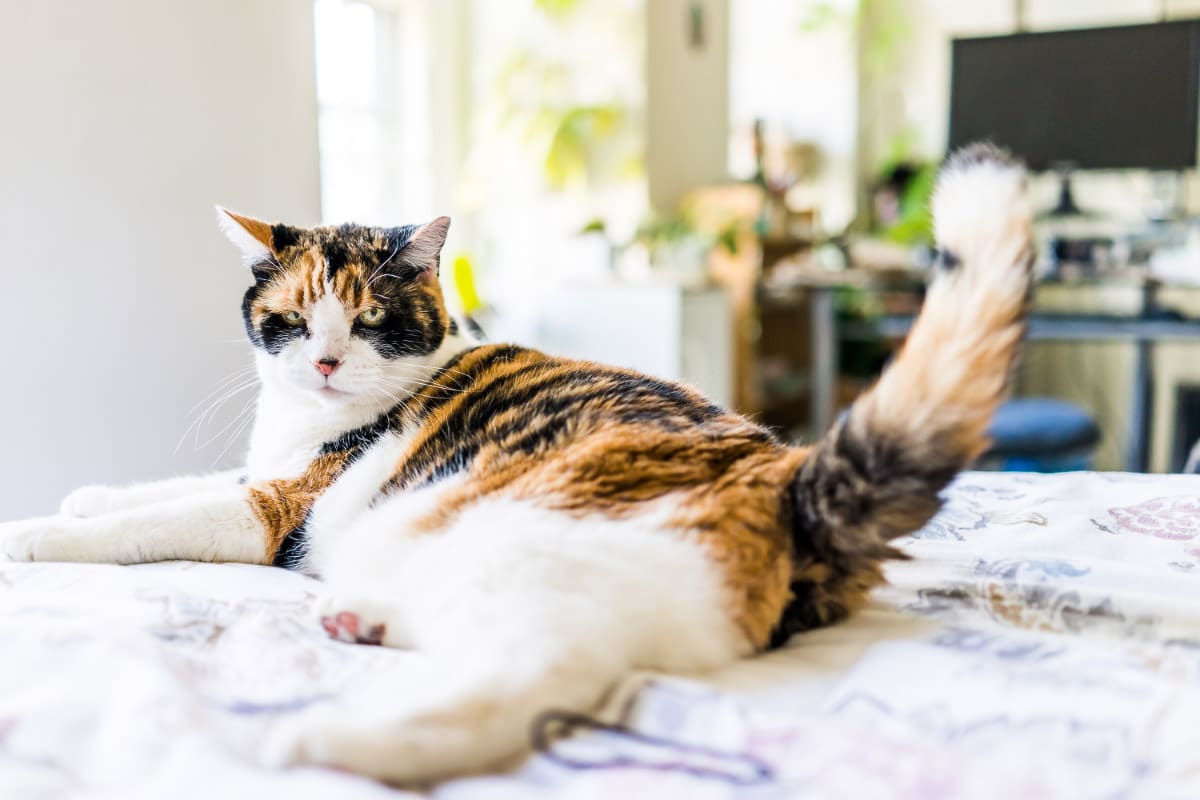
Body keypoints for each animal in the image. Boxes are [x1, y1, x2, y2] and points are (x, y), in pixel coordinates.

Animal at [0, 143, 1032, 782]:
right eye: (292, 320)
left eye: (369, 320)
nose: (326, 362)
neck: (302, 423)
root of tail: (787, 479)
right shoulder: (267, 471)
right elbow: (172, 485)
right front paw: (83, 494)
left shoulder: (280, 506)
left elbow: (160, 521)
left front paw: (36, 535)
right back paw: (360, 621)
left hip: (521, 544)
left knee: (534, 678)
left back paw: (325, 738)